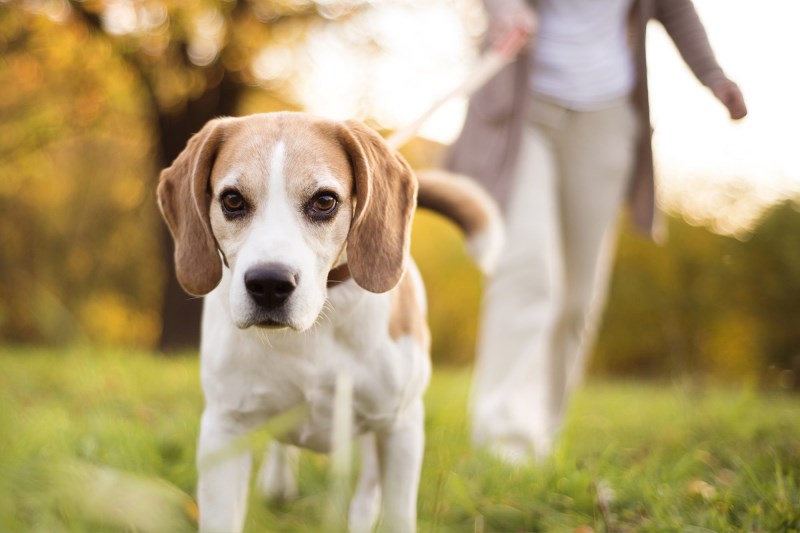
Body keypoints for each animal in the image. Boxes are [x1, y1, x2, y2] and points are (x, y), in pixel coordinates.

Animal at [158, 112, 500, 532]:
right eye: (232, 200)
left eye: (324, 201)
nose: (269, 283)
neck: (316, 325)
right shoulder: (224, 428)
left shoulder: (400, 427)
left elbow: (397, 514)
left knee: (369, 486)